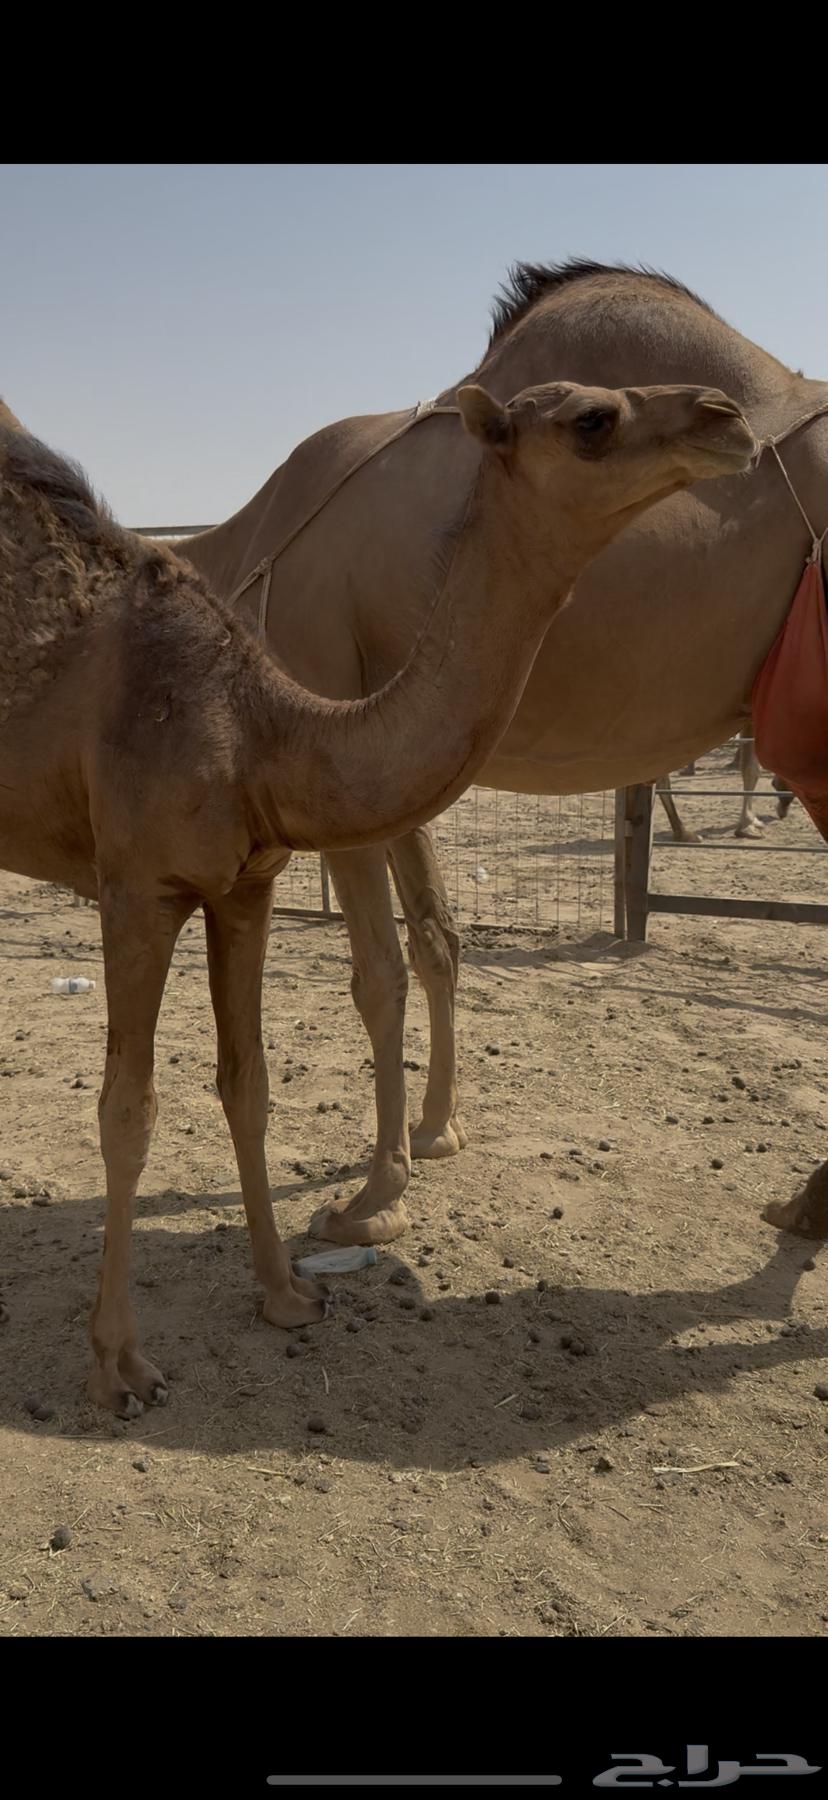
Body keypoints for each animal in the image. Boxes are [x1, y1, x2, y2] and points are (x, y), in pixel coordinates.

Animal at [0, 380, 755, 1414]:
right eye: (592, 419)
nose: (728, 415)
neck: (256, 732)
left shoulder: (248, 885)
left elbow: (248, 1084)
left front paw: (285, 1294)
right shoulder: (136, 890)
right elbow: (128, 1111)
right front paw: (118, 1366)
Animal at [172, 261, 828, 1251]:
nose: (724, 419)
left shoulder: (328, 726)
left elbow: (378, 973)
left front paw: (373, 1198)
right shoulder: (386, 747)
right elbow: (438, 939)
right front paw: (439, 1132)